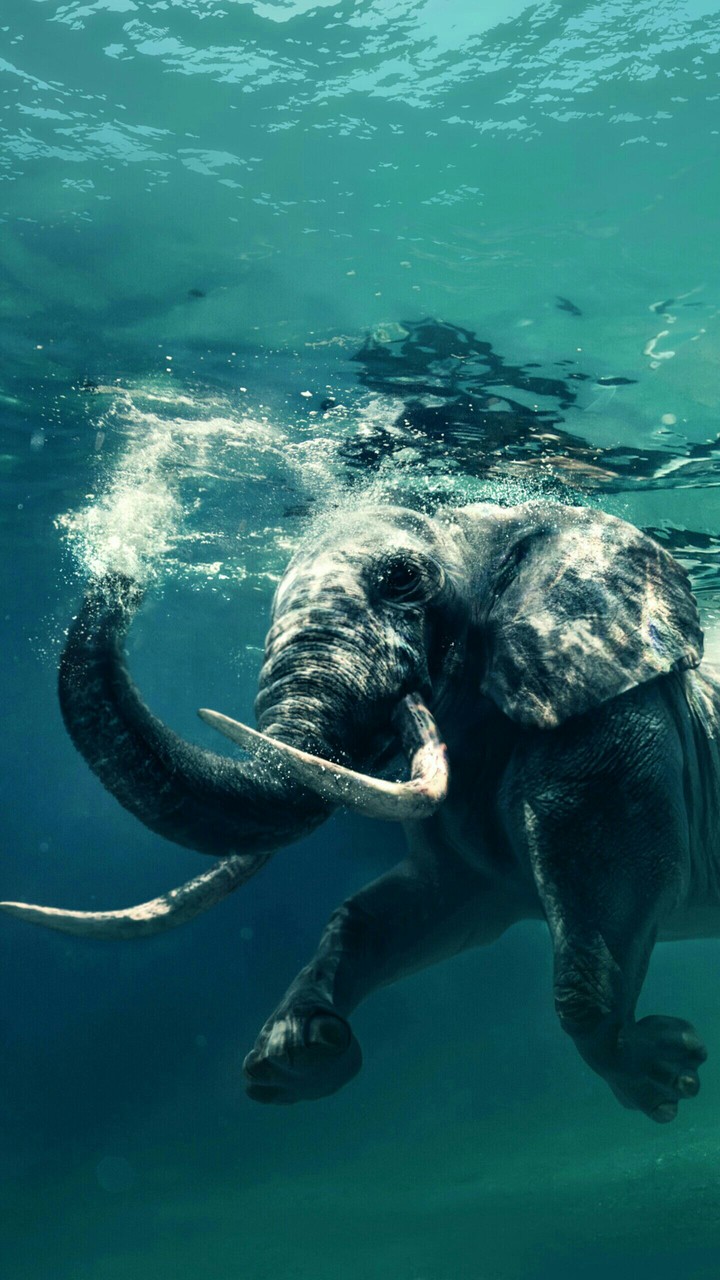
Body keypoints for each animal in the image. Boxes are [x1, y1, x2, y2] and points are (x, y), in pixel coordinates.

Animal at [4, 498, 717, 1123]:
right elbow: (404, 909)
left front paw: (666, 1076)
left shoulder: (610, 726)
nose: (123, 570)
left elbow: (612, 897)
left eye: (401, 579)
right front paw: (296, 1055)